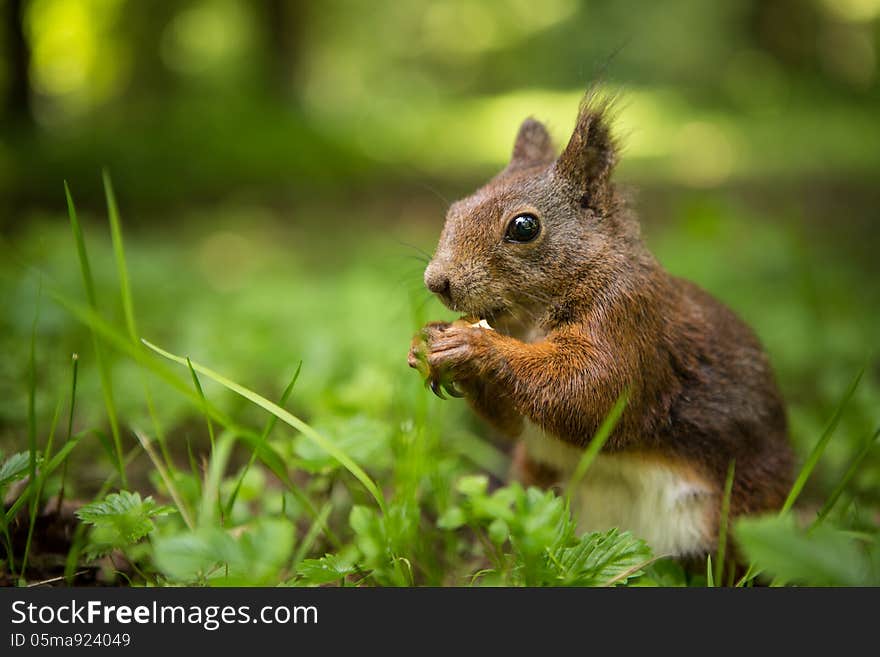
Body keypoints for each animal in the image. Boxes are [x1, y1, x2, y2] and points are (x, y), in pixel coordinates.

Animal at [410, 88, 796, 560]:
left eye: (524, 226)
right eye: (456, 208)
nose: (437, 281)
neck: (529, 321)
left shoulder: (630, 317)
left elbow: (592, 391)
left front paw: (473, 347)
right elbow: (516, 422)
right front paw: (428, 341)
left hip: (740, 512)